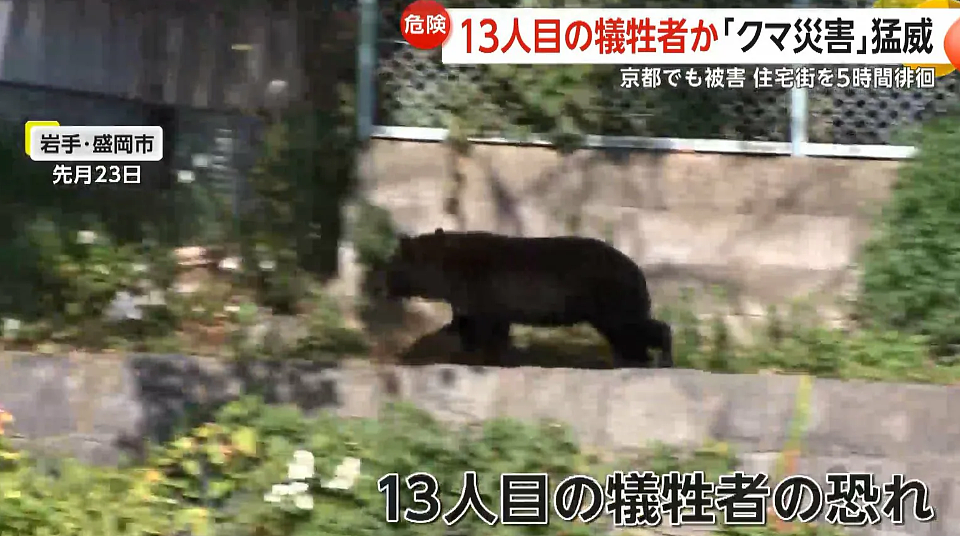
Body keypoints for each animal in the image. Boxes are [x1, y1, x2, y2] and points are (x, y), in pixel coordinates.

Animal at [382, 228, 673, 368]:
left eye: (392, 265)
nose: (383, 285)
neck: (446, 270)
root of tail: (636, 269)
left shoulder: (482, 292)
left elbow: (485, 327)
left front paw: (483, 358)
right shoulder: (470, 300)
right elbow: (466, 324)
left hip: (611, 299)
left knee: (634, 327)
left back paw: (662, 358)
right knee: (627, 336)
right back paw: (634, 361)